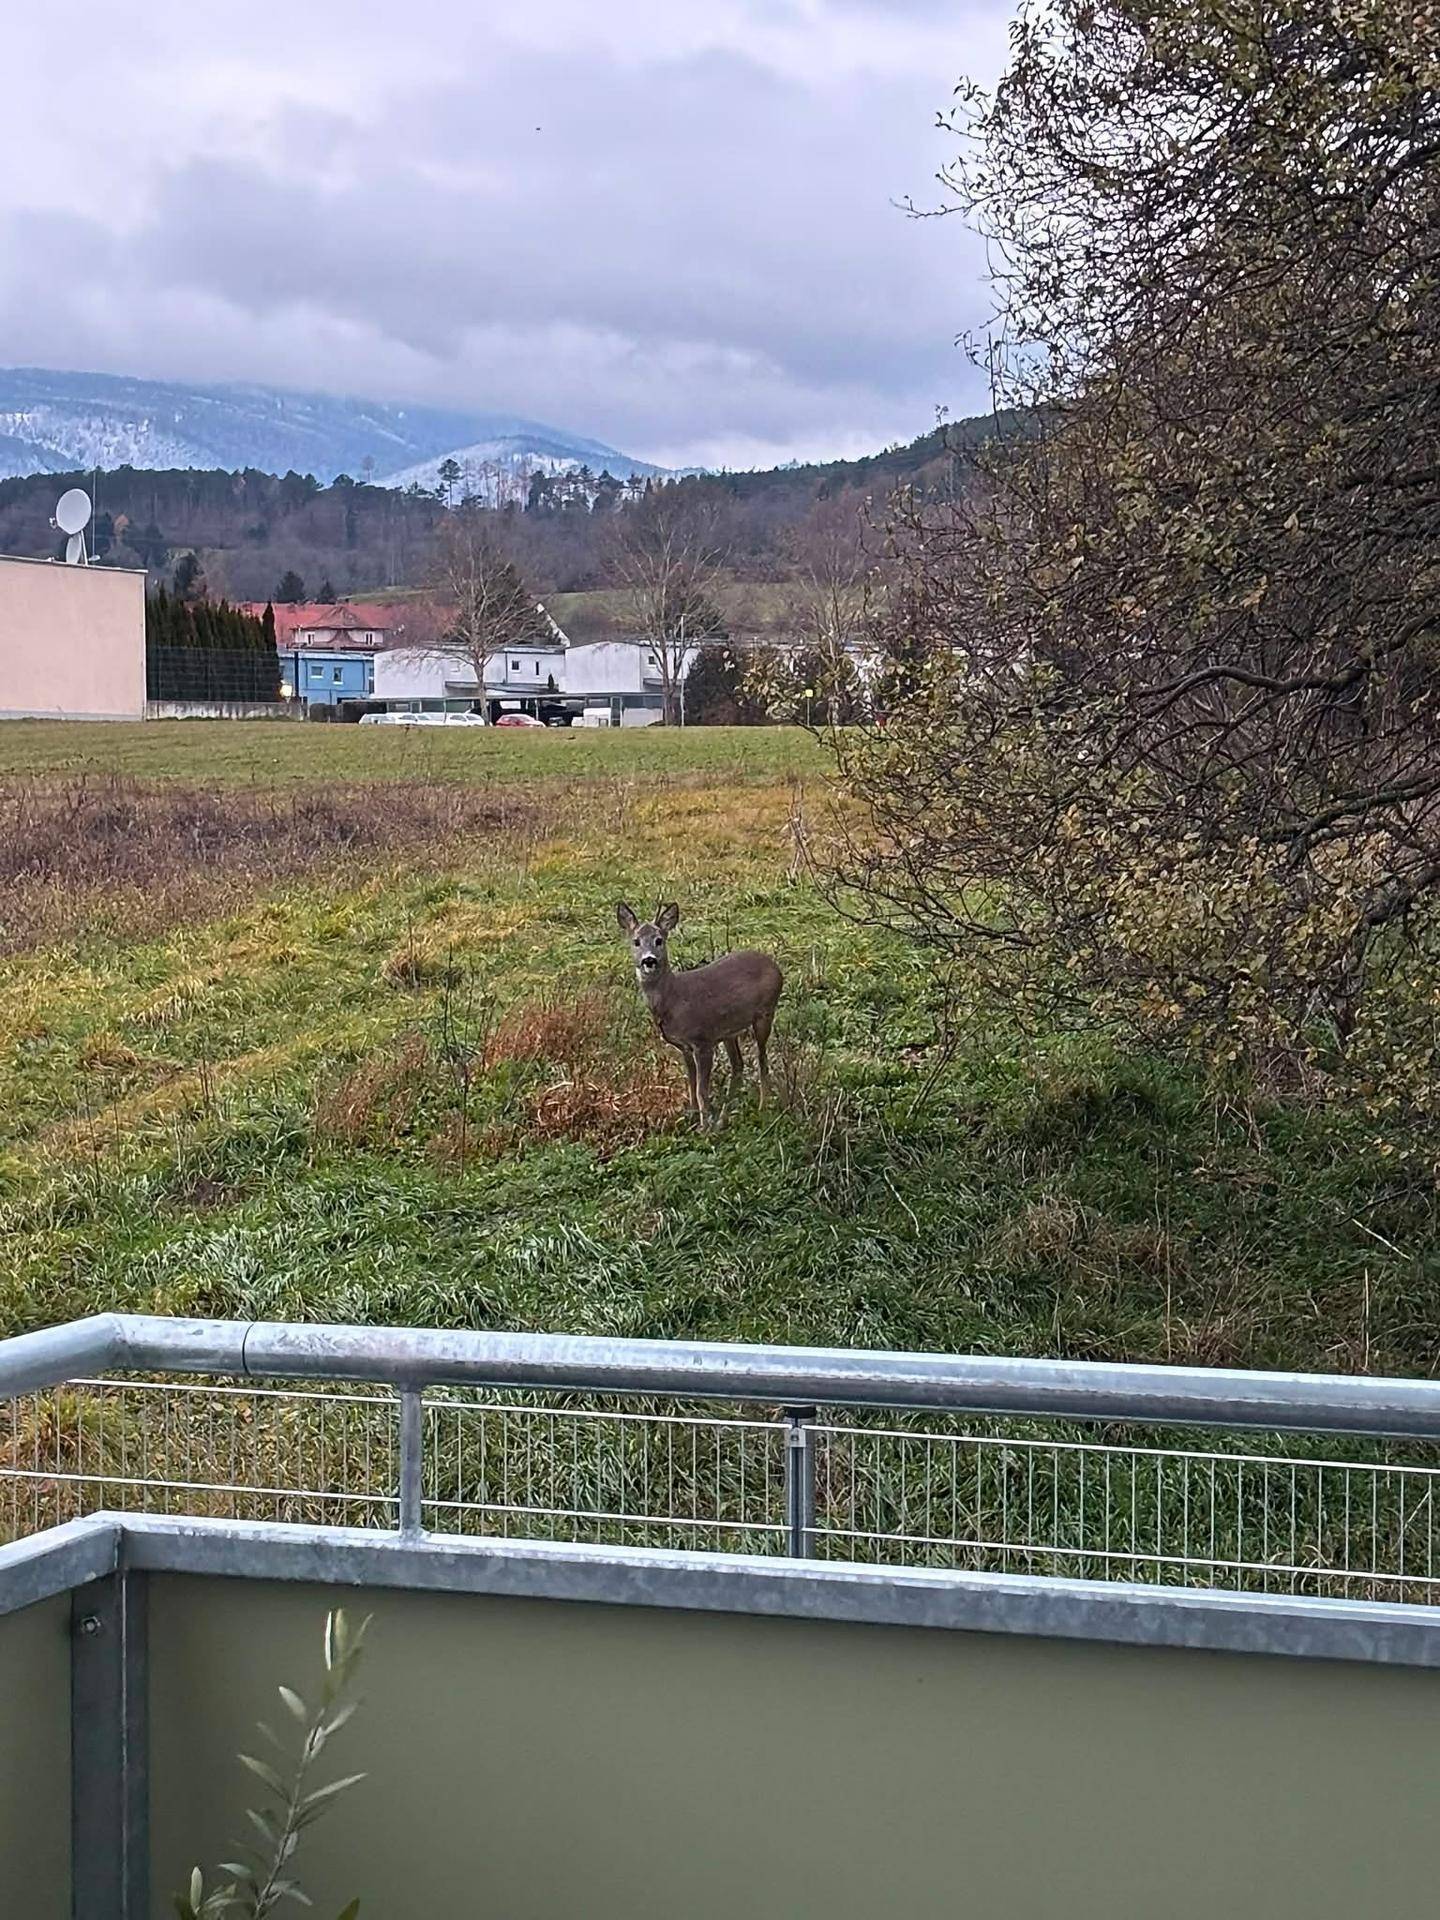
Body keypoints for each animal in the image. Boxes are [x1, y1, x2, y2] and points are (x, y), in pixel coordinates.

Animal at [616, 901, 783, 1130]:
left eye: (659, 940)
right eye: (636, 941)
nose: (649, 960)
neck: (673, 999)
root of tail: (775, 966)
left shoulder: (702, 1041)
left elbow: (701, 1089)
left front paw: (704, 1126)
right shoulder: (684, 1046)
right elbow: (691, 1083)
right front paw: (692, 1118)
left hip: (765, 1013)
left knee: (761, 1060)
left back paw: (762, 1107)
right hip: (729, 1031)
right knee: (738, 1066)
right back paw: (723, 1118)